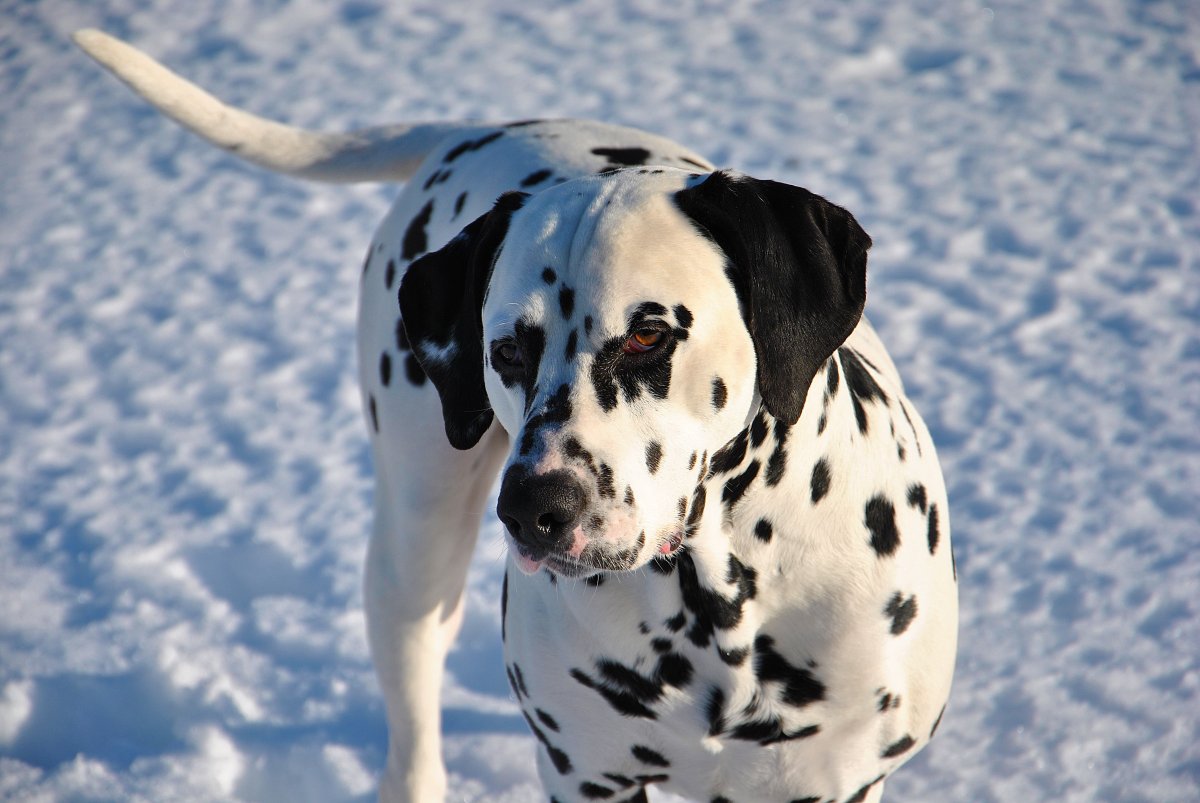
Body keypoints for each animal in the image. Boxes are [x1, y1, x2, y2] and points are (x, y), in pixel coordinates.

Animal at [77, 29, 955, 801]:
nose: (535, 507)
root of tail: (476, 131)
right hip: (415, 543)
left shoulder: (831, 780)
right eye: (505, 350)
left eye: (649, 332)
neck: (721, 602)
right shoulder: (587, 775)